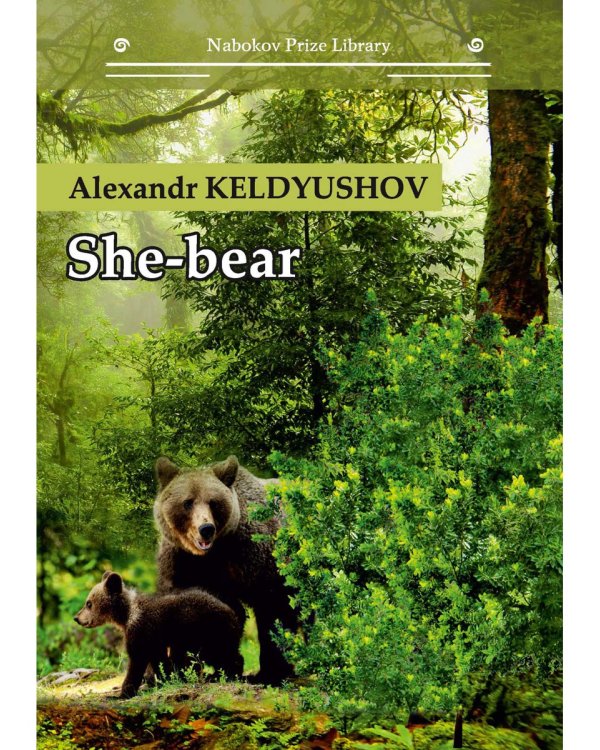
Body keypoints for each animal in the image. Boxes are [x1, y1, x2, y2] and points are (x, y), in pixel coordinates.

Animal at [74, 570, 243, 698]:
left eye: (89, 603)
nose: (77, 618)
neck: (126, 615)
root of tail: (233, 614)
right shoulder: (154, 637)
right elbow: (159, 660)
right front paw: (162, 680)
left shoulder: (140, 629)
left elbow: (137, 659)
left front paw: (123, 693)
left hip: (208, 631)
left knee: (222, 654)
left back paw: (229, 674)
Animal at [153, 454, 297, 685]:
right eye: (187, 502)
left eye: (213, 502)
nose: (206, 528)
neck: (213, 553)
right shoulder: (182, 563)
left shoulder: (255, 555)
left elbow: (273, 607)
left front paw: (270, 672)